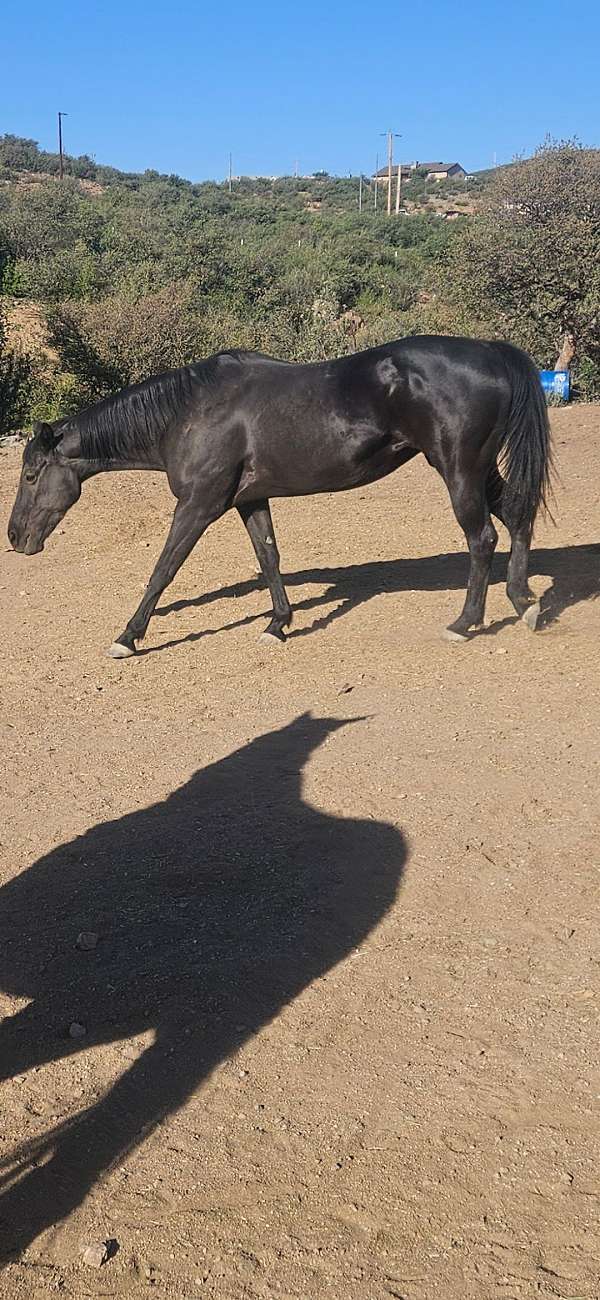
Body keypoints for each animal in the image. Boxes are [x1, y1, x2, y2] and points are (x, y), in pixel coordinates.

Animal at [7, 335, 552, 658]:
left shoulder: (198, 506)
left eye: (31, 475)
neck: (189, 412)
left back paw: (465, 622)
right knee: (519, 516)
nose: (15, 538)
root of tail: (492, 351)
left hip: (459, 470)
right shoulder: (249, 501)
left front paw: (128, 636)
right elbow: (269, 558)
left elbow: (163, 568)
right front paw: (278, 624)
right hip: (477, 472)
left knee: (482, 538)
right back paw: (524, 601)